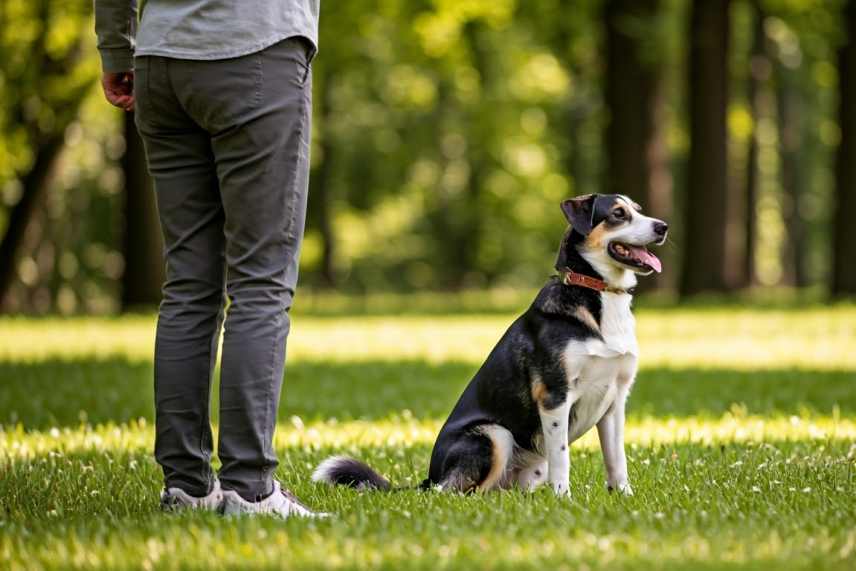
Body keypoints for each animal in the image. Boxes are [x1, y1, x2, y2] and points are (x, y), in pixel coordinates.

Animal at [314, 194, 668, 498]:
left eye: (638, 210)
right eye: (618, 214)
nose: (662, 226)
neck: (599, 295)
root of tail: (429, 478)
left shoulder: (614, 401)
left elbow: (617, 459)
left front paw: (624, 496)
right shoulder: (554, 394)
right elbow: (562, 458)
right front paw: (563, 498)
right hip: (494, 434)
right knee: (453, 492)